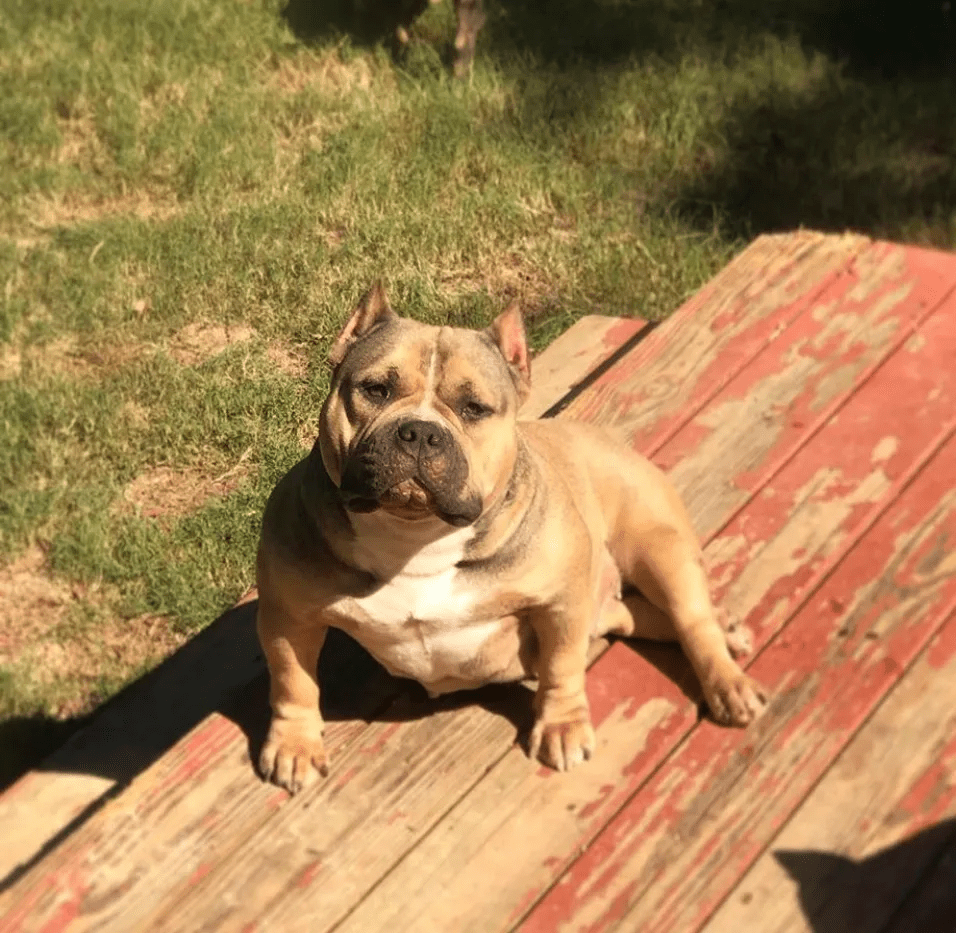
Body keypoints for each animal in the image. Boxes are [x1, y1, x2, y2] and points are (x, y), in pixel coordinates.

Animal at [256, 280, 768, 792]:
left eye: (474, 409)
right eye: (375, 390)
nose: (419, 431)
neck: (415, 537)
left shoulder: (562, 601)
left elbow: (562, 665)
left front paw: (561, 725)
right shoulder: (288, 616)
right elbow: (293, 682)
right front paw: (294, 746)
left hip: (659, 549)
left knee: (690, 618)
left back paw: (729, 679)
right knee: (636, 616)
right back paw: (727, 626)